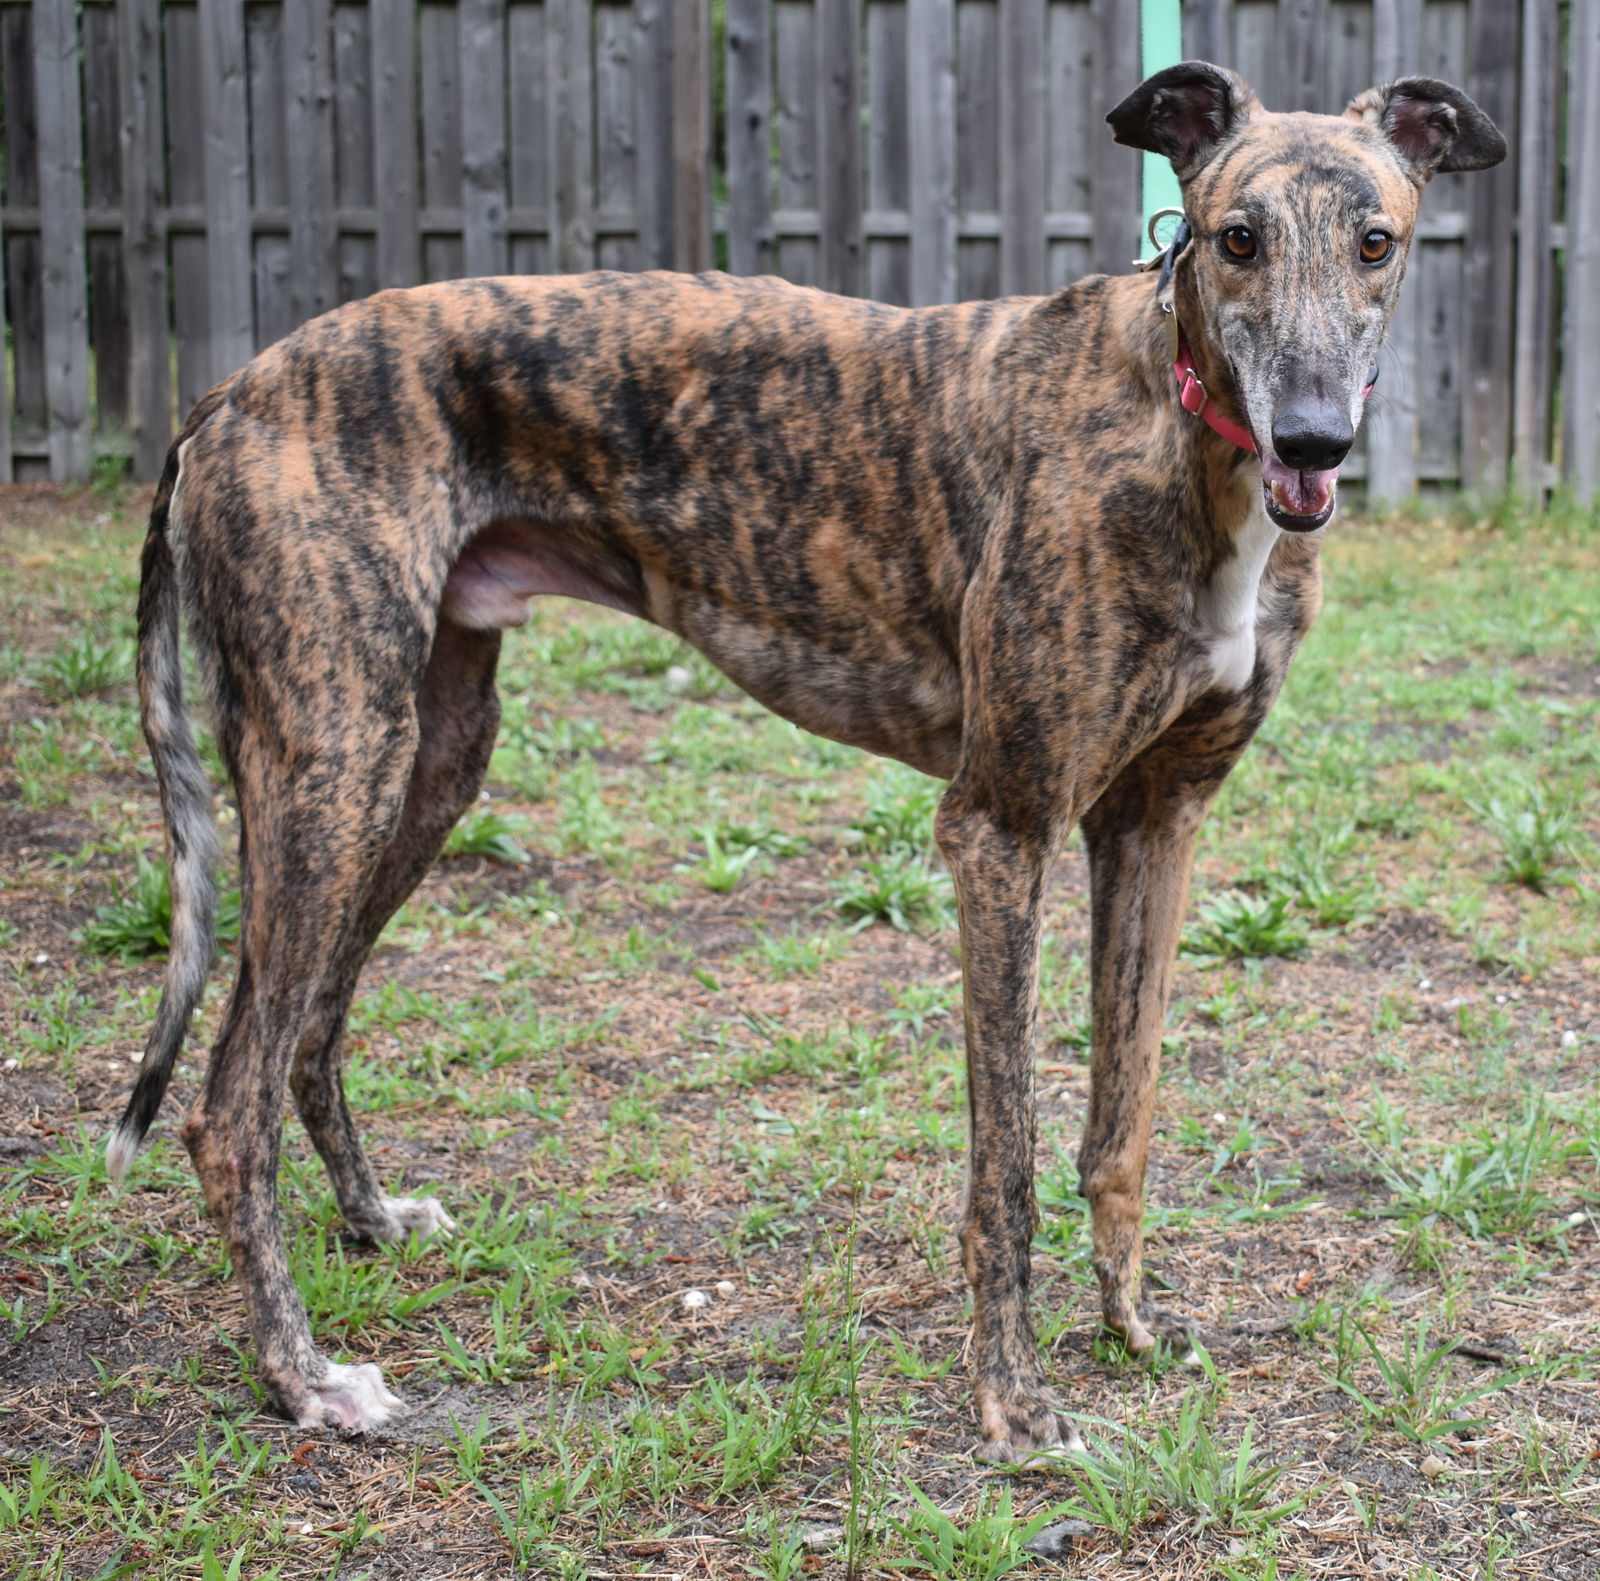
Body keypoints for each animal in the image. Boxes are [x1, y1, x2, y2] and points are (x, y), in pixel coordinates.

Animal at [109, 64, 1497, 1472]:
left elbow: (1125, 1122)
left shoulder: (1155, 822)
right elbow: (1006, 1162)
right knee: (227, 1107)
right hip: (334, 758)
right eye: (1234, 239)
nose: (1313, 444)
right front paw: (1014, 1399)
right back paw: (302, 1378)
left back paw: (374, 1223)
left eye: (1375, 241)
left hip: (427, 762)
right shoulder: (1001, 827)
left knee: (310, 1028)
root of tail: (233, 389)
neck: (1179, 434)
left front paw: (1132, 1328)